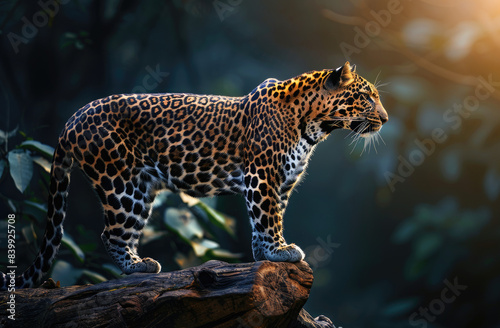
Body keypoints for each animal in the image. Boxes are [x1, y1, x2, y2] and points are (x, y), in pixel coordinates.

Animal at [0, 60, 388, 288]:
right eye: (366, 97)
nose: (385, 119)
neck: (316, 126)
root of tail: (73, 119)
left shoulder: (281, 184)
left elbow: (266, 219)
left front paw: (264, 253)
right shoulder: (262, 176)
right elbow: (267, 218)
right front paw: (279, 251)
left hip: (141, 188)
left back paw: (139, 267)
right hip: (121, 184)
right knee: (110, 233)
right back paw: (137, 267)